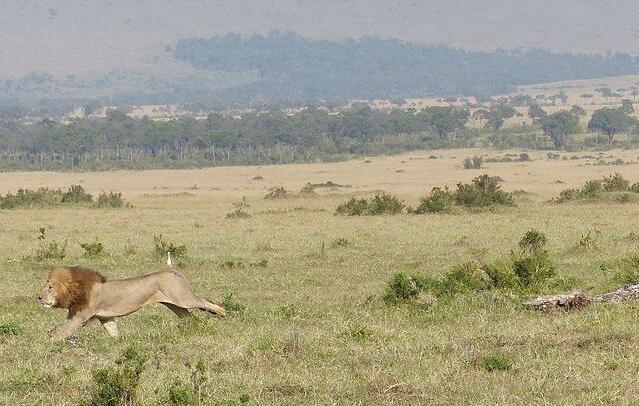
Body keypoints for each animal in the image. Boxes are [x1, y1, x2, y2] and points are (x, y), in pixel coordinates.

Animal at [37, 264, 226, 340]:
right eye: (45, 285)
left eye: (50, 287)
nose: (38, 297)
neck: (75, 290)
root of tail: (174, 271)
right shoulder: (105, 317)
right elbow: (113, 332)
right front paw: (119, 343)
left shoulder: (79, 317)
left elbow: (61, 332)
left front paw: (47, 342)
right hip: (175, 306)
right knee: (191, 319)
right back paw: (196, 328)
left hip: (184, 299)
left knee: (204, 302)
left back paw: (222, 312)